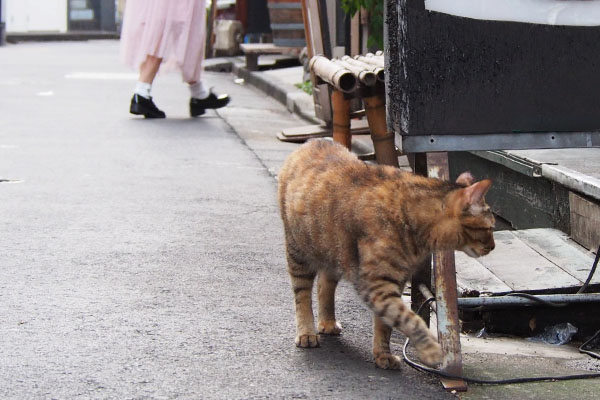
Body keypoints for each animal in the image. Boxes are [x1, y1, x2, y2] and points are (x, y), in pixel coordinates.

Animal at [278, 140, 494, 368]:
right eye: (490, 228)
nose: (493, 246)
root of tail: (313, 142)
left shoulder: (394, 284)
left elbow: (386, 324)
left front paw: (383, 354)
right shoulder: (376, 284)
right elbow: (410, 319)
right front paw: (431, 350)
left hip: (333, 252)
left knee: (324, 286)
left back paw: (327, 322)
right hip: (298, 253)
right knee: (302, 295)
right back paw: (306, 333)